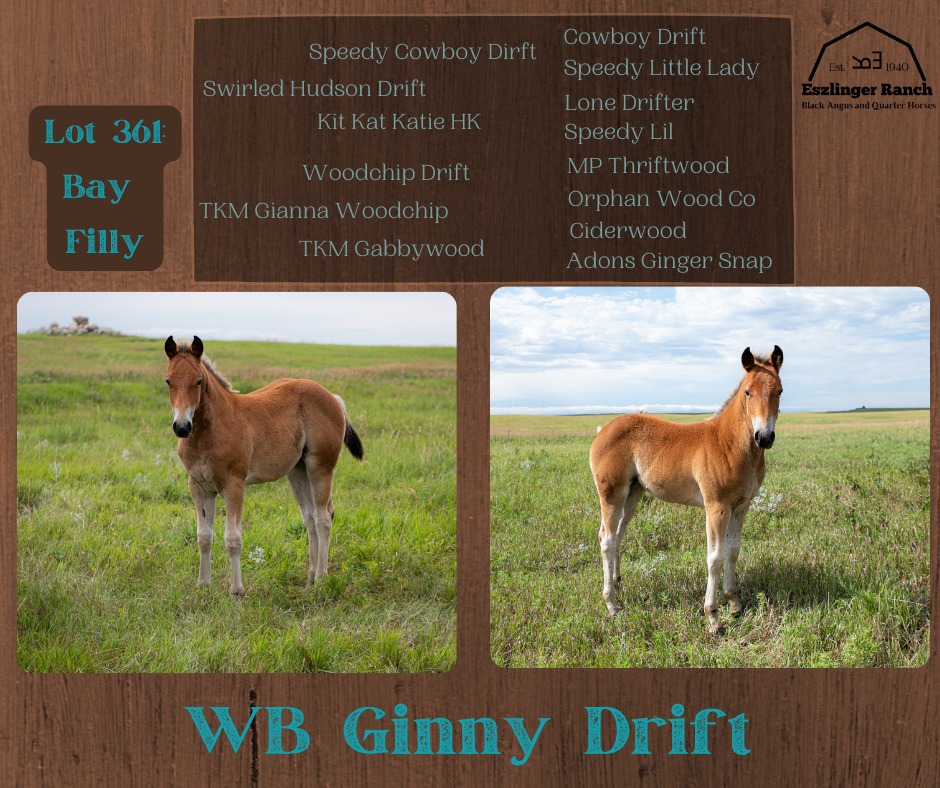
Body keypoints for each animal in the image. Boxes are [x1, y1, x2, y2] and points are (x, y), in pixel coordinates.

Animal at [164, 336, 364, 596]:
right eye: (168, 381)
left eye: (198, 381)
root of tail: (332, 396)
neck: (210, 429)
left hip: (320, 467)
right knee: (310, 518)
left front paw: (236, 591)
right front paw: (203, 585)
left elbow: (233, 539)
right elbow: (204, 537)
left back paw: (321, 578)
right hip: (297, 472)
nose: (181, 427)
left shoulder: (234, 485)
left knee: (323, 518)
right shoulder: (198, 487)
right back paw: (309, 580)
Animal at [589, 346, 783, 635]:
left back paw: (616, 584)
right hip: (611, 494)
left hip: (633, 494)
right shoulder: (716, 507)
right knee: (607, 539)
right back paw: (611, 604)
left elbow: (733, 551)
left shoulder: (742, 506)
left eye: (779, 391)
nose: (764, 437)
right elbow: (715, 557)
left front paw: (734, 603)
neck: (728, 444)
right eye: (748, 391)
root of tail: (603, 430)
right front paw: (713, 617)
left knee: (618, 535)